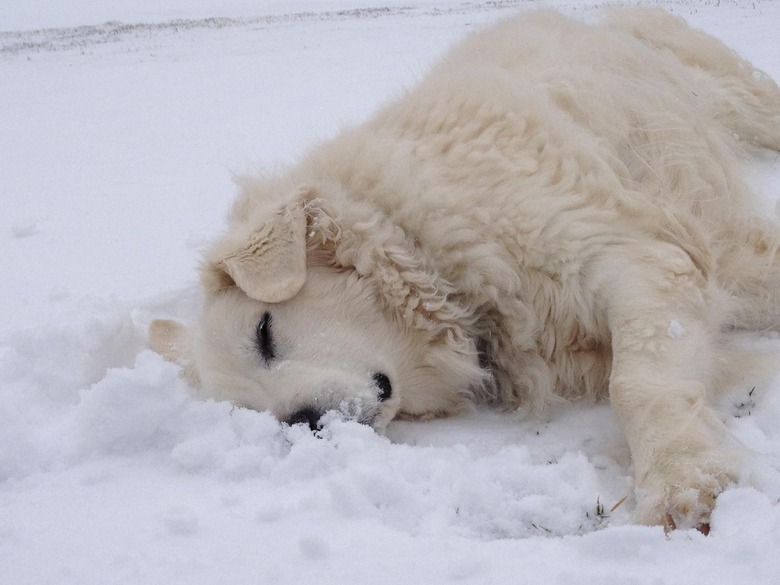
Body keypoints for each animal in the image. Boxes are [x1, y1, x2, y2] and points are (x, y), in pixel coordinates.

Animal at [149, 8, 780, 528]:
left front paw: (682, 481)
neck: (425, 248)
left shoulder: (629, 253)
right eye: (248, 411)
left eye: (265, 332)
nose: (301, 424)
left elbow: (637, 381)